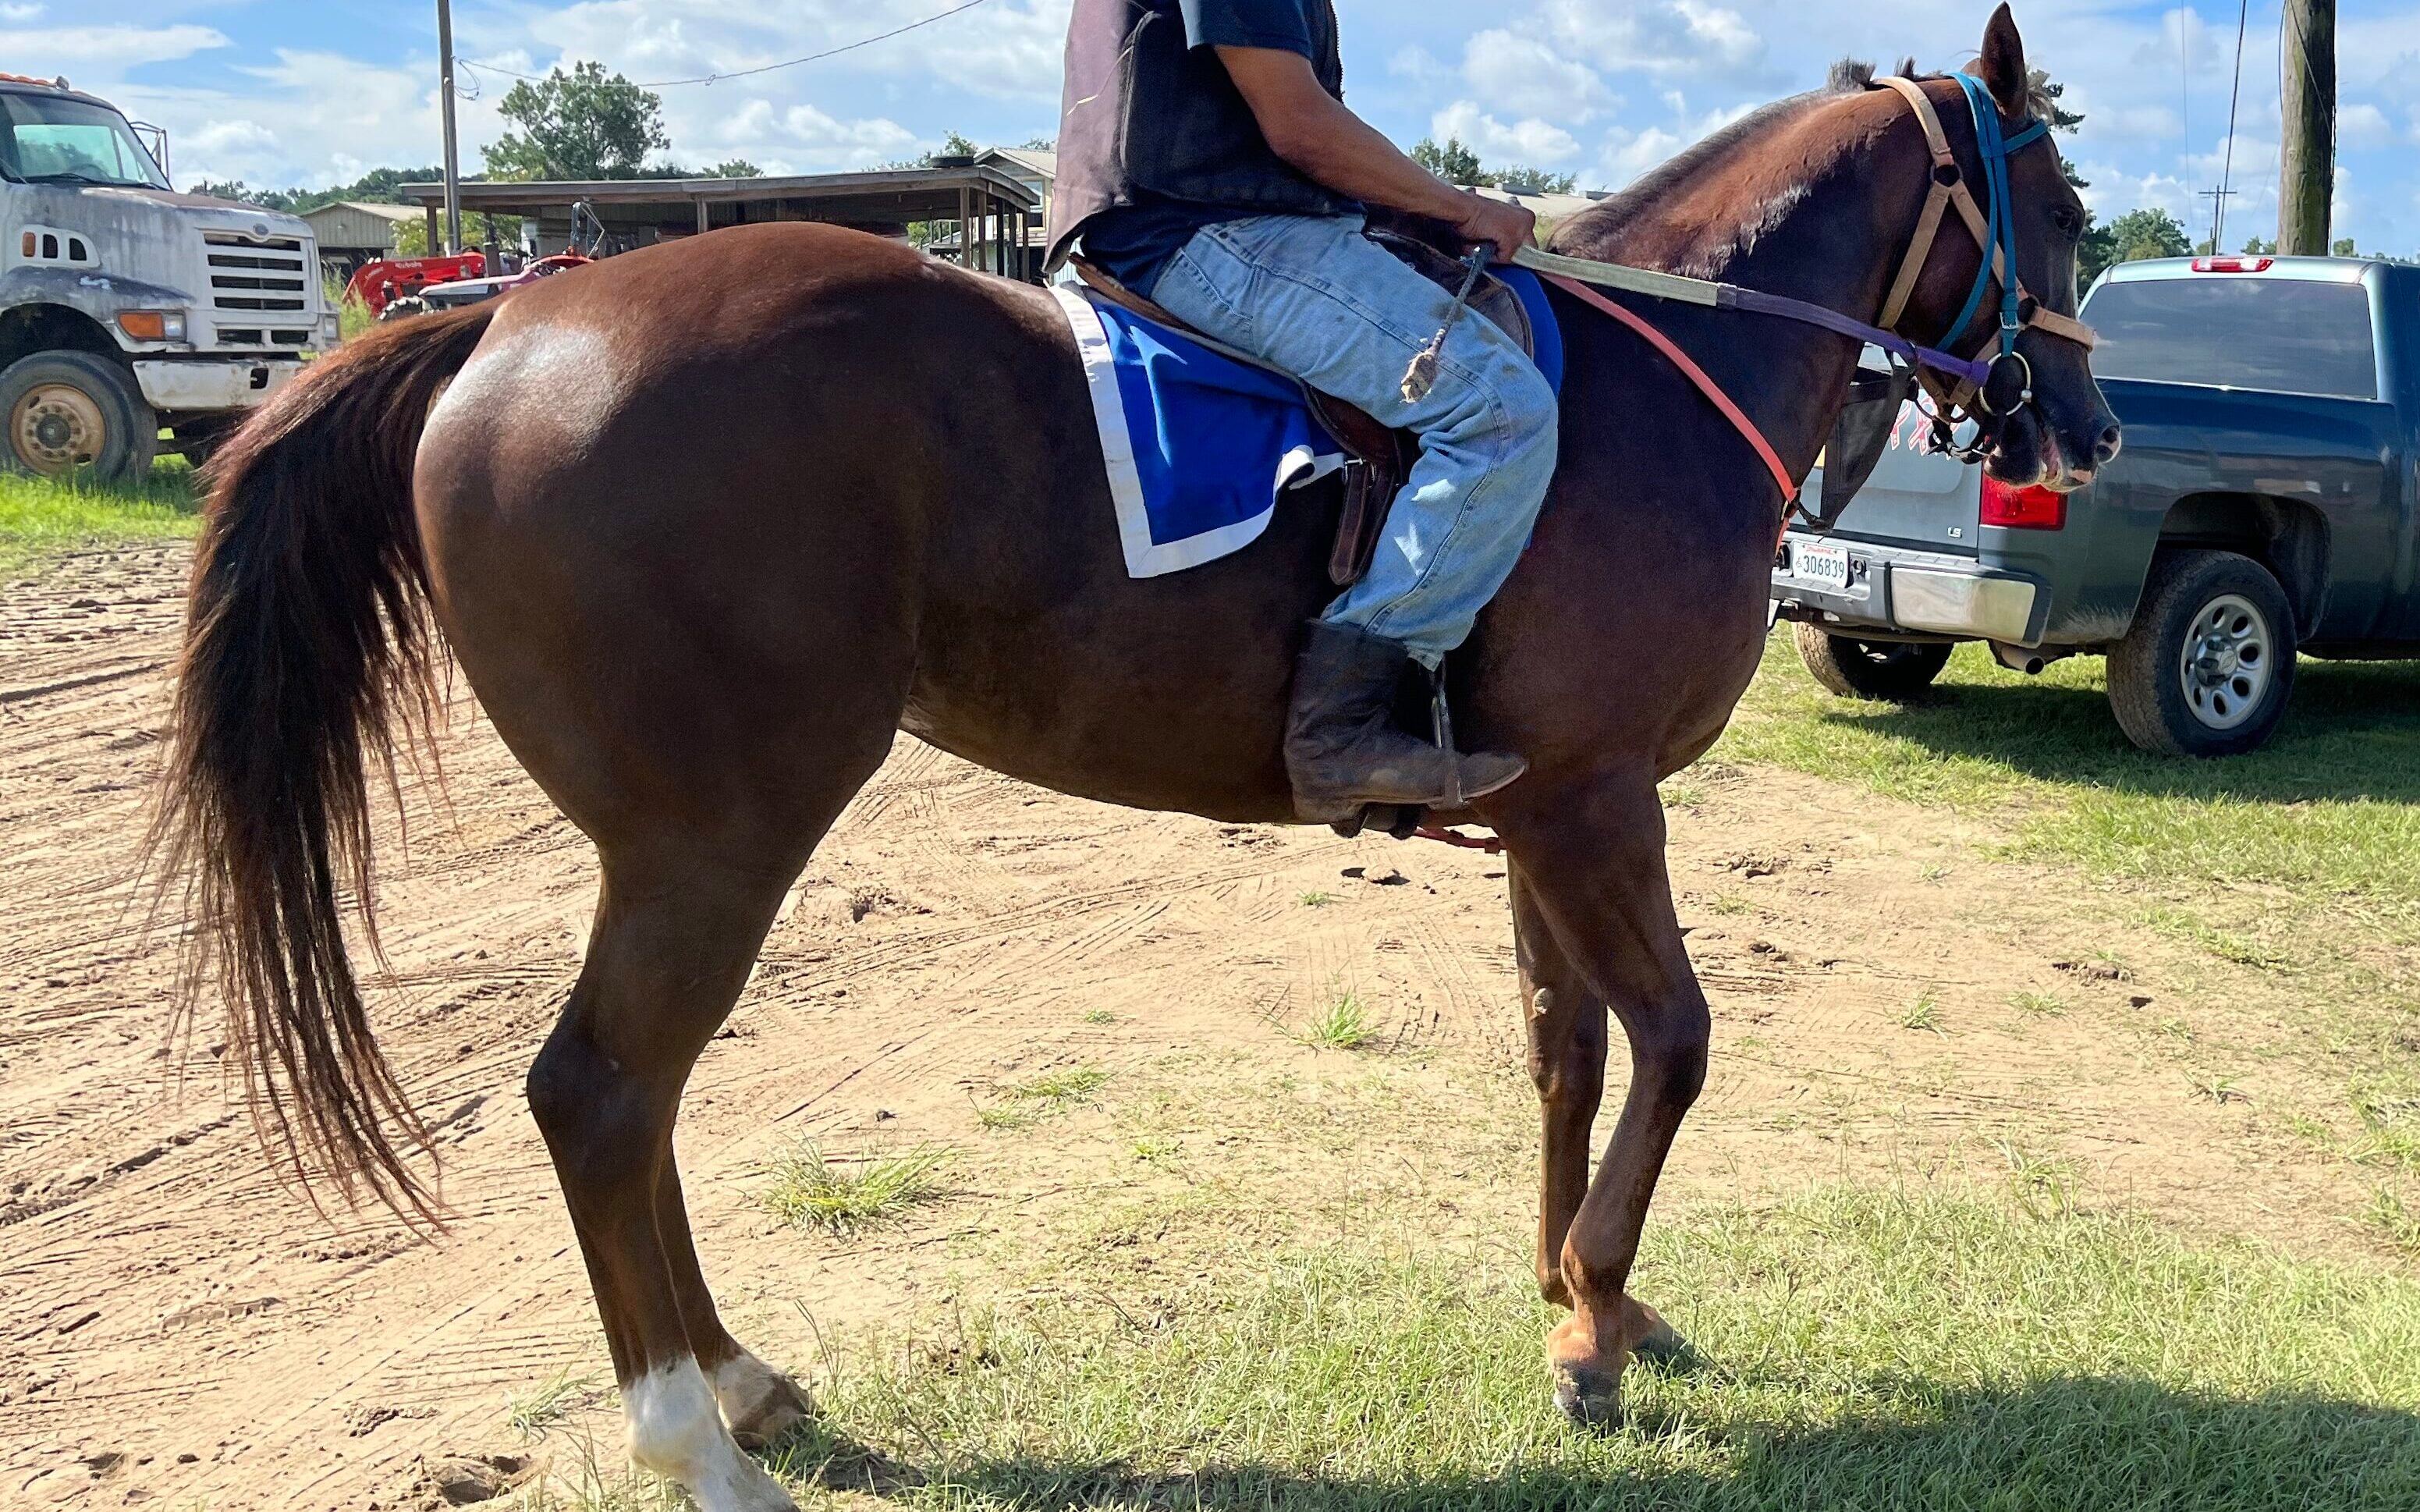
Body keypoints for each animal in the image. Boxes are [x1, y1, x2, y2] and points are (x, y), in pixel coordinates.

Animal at [155, 9, 2115, 1508]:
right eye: (2065, 210)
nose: (2088, 426)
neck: (1660, 380)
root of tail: (504, 318)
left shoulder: (1541, 809)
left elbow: (1565, 1049)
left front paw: (1582, 1305)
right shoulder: (1595, 801)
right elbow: (1680, 1040)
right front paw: (1594, 1311)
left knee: (642, 1103)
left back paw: (740, 1377)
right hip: (712, 838)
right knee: (601, 1096)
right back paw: (694, 1440)